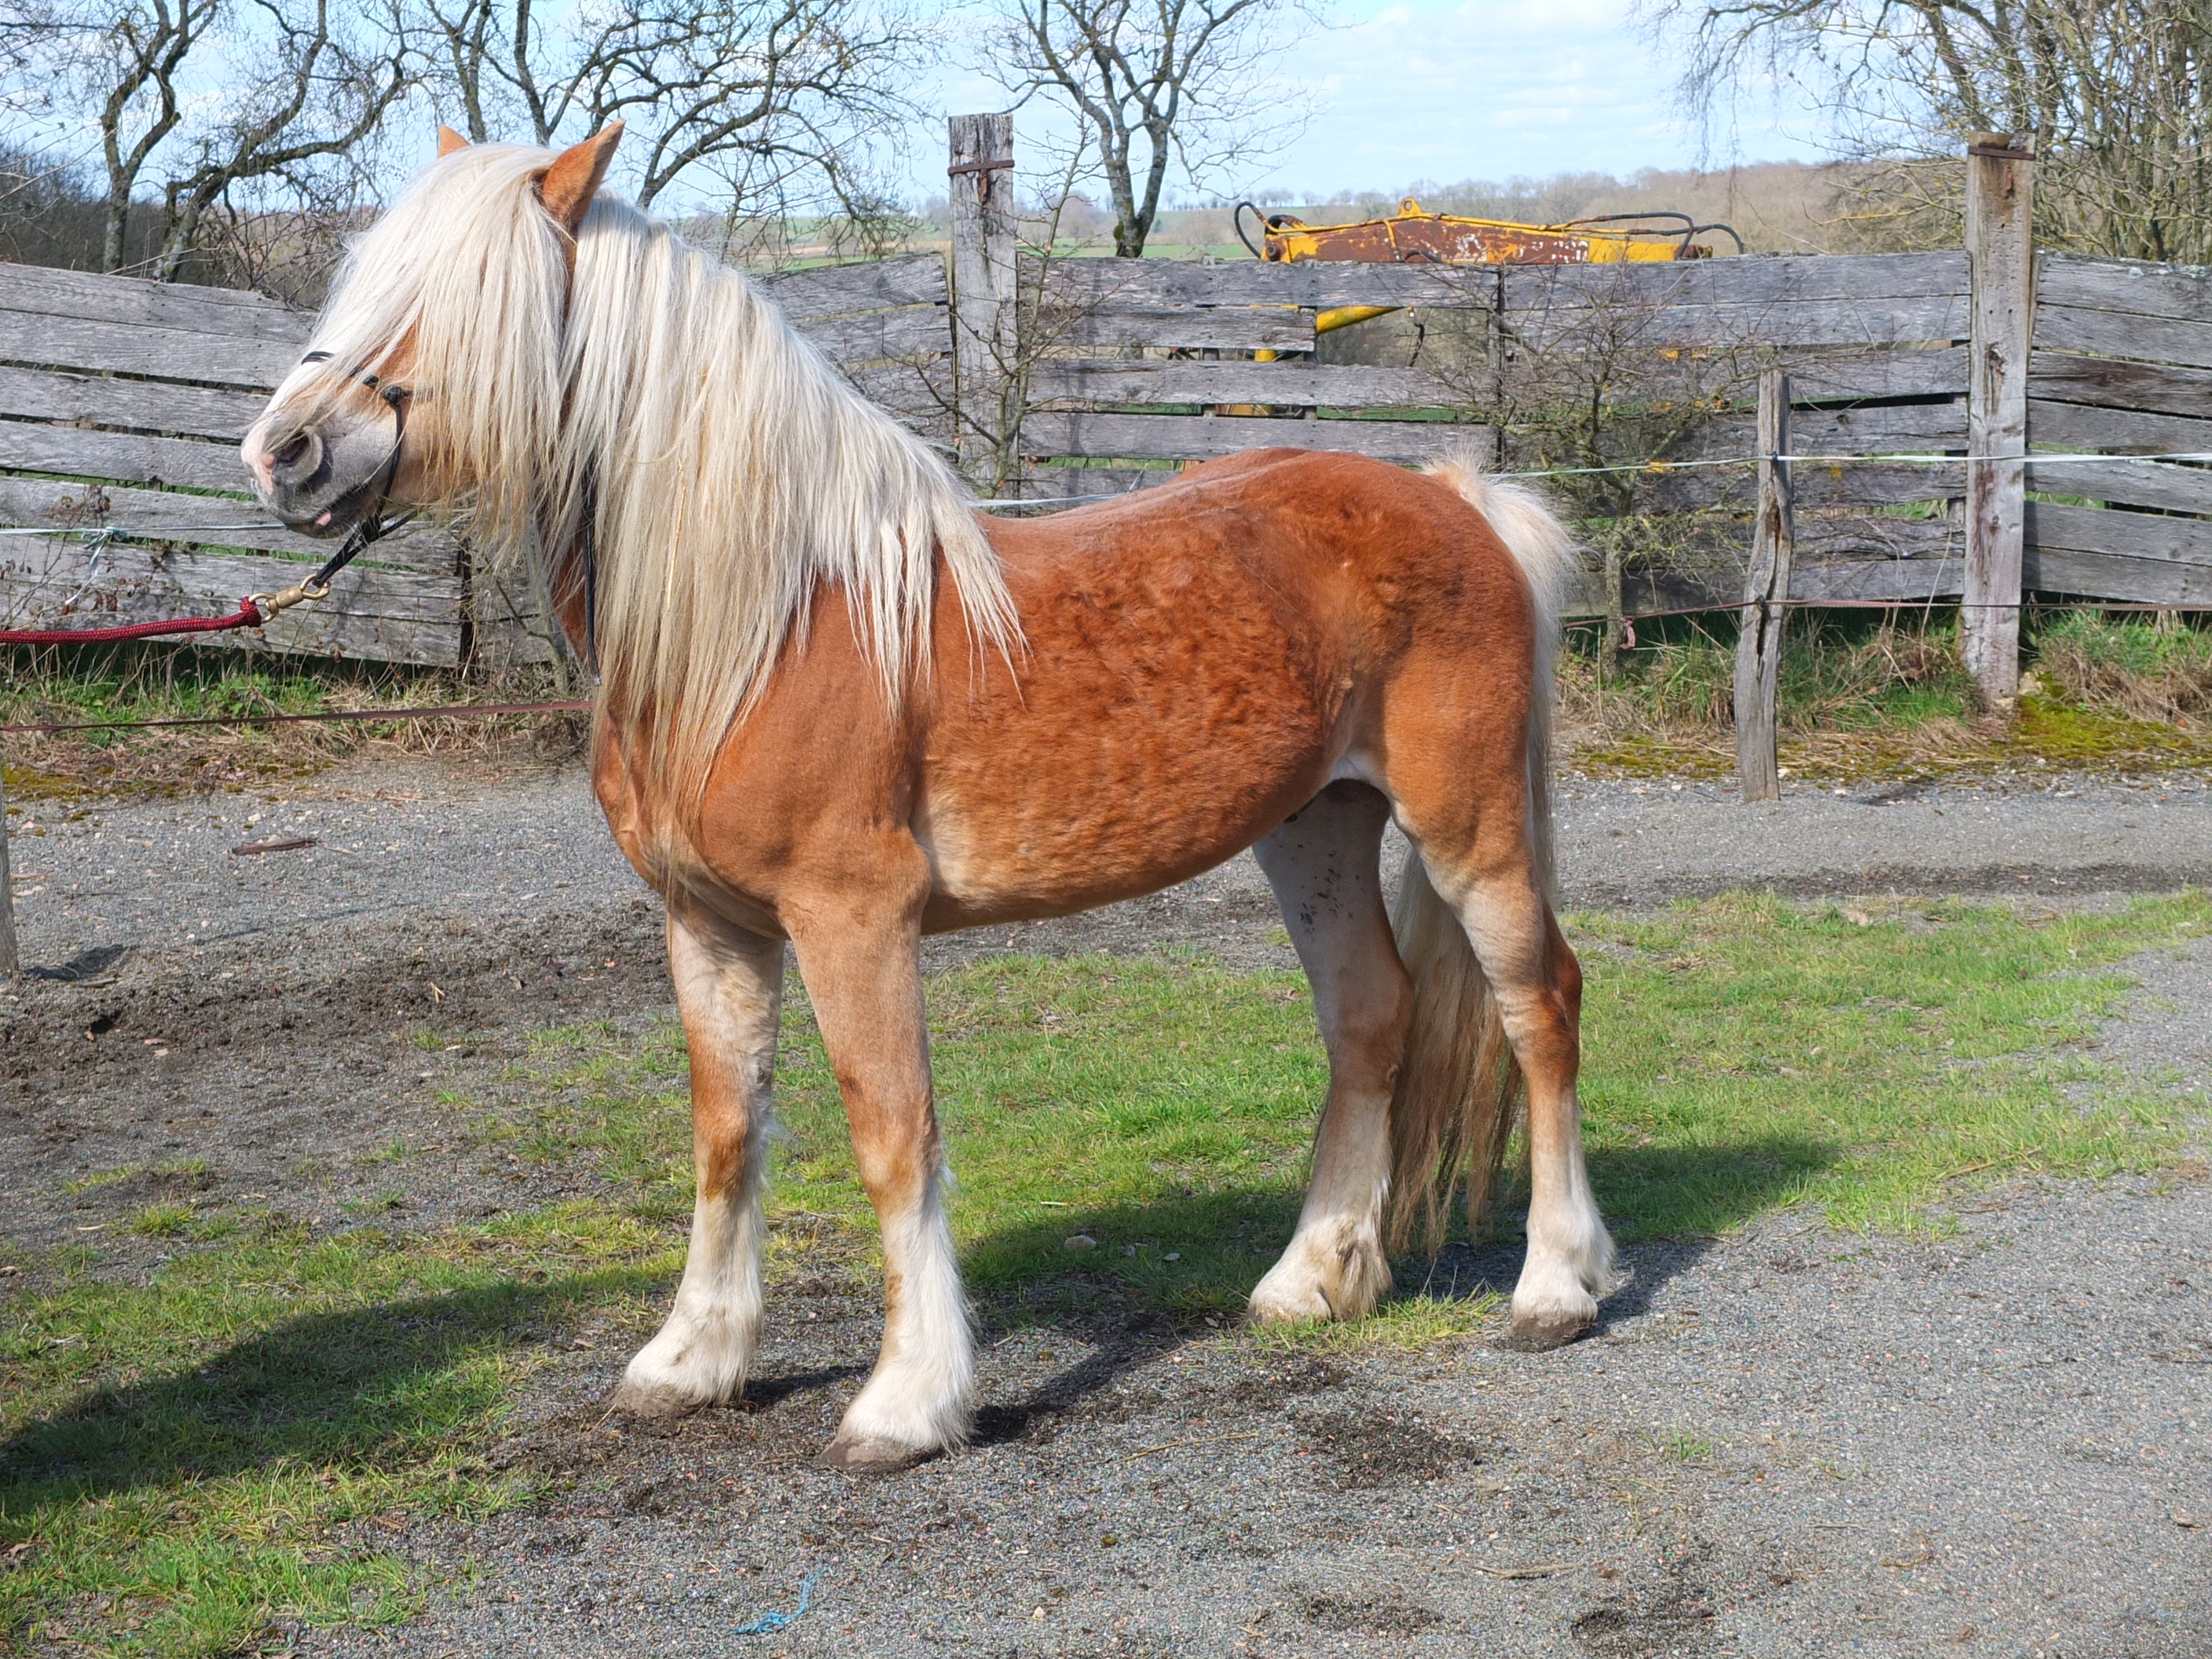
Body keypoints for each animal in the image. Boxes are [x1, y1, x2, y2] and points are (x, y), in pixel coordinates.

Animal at [242, 133, 1628, 1478]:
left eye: (463, 300)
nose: (282, 452)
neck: (769, 626)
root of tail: (1456, 498)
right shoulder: (708, 927)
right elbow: (725, 1133)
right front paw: (693, 1362)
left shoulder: (852, 921)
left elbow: (891, 1134)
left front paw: (907, 1403)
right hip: (1316, 828)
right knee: (1370, 1017)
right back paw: (1312, 1281)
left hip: (1469, 831)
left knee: (1542, 1007)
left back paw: (1556, 1289)